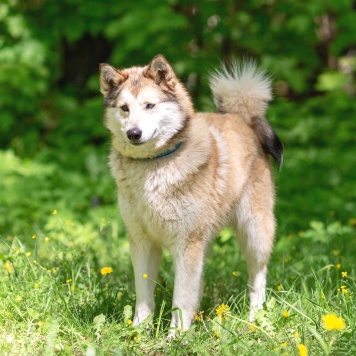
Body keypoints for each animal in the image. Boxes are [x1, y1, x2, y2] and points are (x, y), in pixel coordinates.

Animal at [98, 53, 282, 336]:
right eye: (124, 108)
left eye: (149, 105)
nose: (133, 133)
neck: (153, 166)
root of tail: (240, 117)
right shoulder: (142, 241)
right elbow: (144, 295)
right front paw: (139, 331)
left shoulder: (187, 244)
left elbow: (181, 297)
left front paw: (176, 336)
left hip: (254, 233)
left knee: (257, 277)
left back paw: (254, 317)